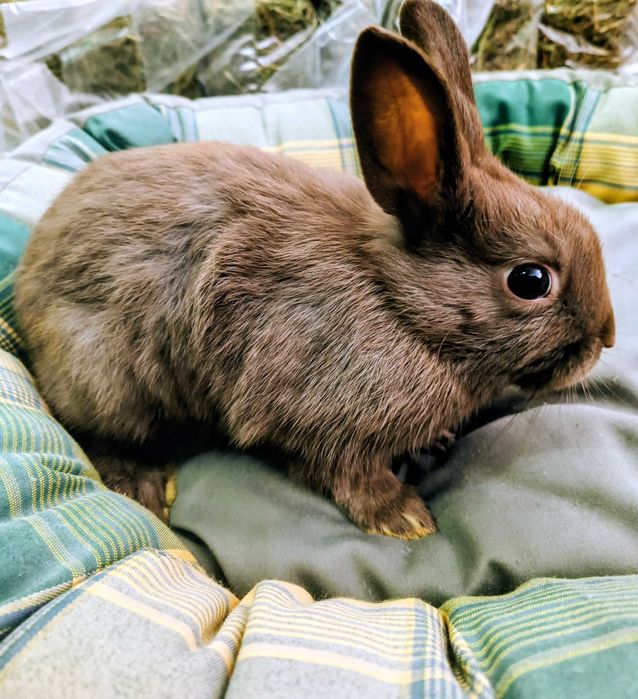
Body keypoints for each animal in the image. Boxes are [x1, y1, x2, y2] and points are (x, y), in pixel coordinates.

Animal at [14, 0, 615, 539]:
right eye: (530, 281)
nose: (605, 338)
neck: (400, 305)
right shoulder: (326, 424)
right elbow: (348, 474)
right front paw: (405, 519)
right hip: (109, 377)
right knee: (96, 432)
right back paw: (143, 484)